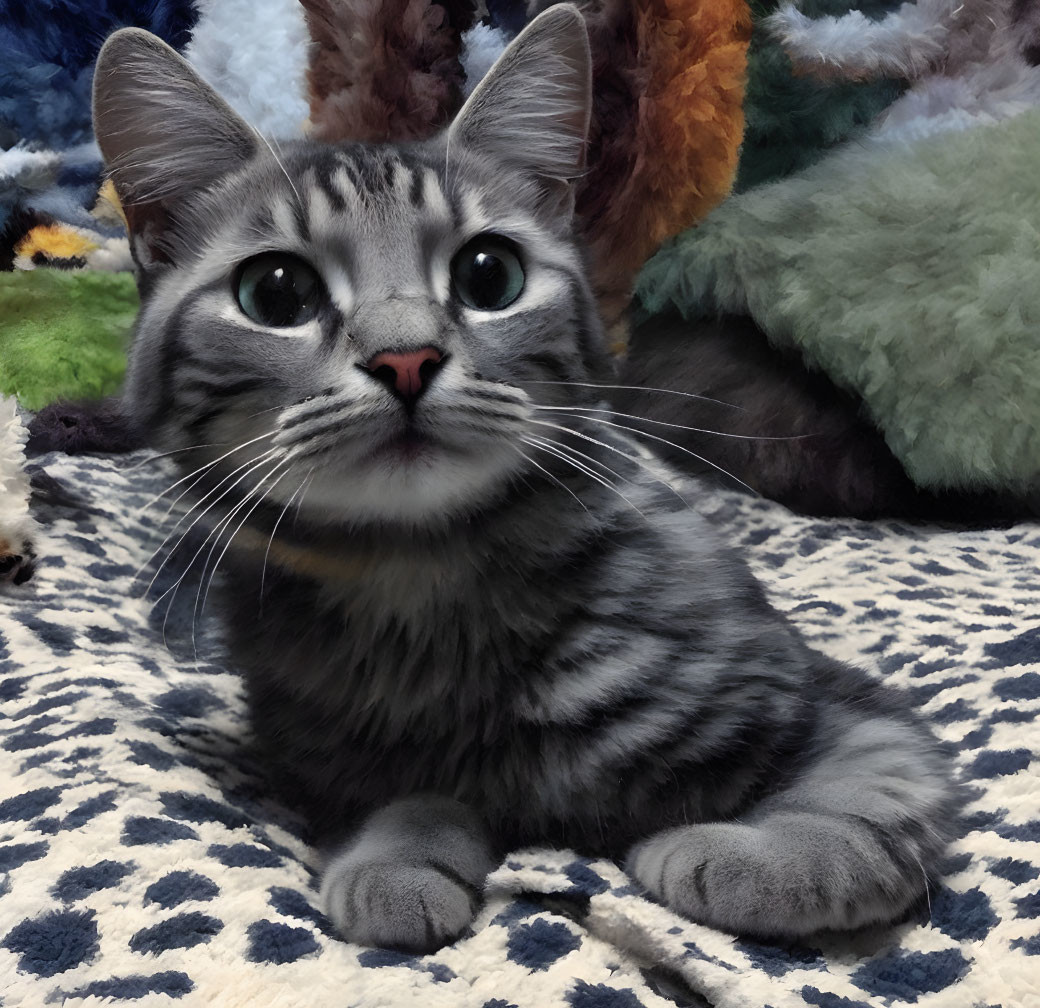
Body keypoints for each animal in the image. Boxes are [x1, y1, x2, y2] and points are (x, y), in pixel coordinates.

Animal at [97, 5, 956, 952]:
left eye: (489, 274)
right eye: (276, 292)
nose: (405, 357)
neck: (422, 582)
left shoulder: (838, 704)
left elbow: (864, 813)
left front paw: (733, 854)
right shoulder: (325, 764)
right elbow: (410, 797)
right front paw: (400, 856)